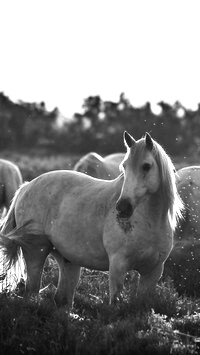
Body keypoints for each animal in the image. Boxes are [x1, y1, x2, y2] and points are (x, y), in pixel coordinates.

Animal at [0, 132, 183, 310]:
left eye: (146, 166)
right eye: (124, 167)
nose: (122, 207)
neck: (150, 222)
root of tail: (26, 186)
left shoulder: (153, 272)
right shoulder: (118, 267)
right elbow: (115, 305)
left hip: (68, 260)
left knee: (62, 299)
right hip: (36, 251)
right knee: (31, 292)